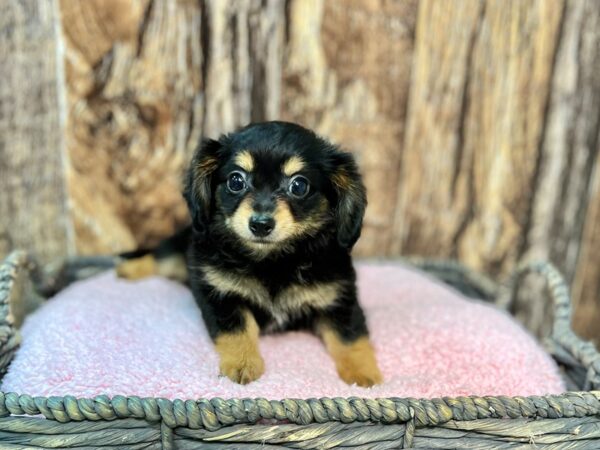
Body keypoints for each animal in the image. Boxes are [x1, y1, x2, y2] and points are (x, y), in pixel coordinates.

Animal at [118, 121, 380, 384]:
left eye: (299, 185)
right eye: (236, 181)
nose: (261, 224)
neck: (272, 262)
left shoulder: (339, 299)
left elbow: (350, 336)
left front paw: (364, 375)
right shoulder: (220, 294)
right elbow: (237, 330)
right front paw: (243, 364)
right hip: (176, 250)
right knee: (157, 259)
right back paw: (128, 270)